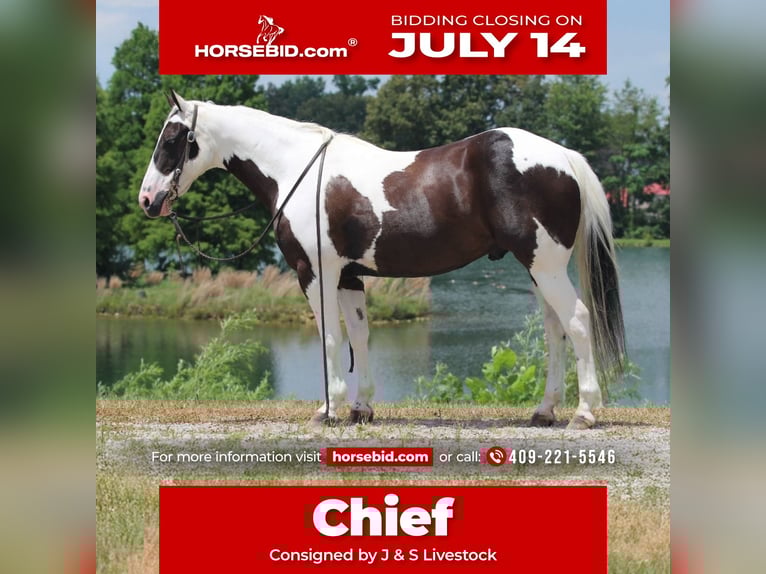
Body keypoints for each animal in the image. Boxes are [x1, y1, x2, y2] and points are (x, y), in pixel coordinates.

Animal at [138, 91, 625, 430]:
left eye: (172, 138)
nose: (147, 200)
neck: (296, 170)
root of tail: (563, 156)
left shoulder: (314, 273)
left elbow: (330, 338)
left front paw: (328, 410)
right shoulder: (349, 277)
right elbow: (359, 335)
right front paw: (361, 408)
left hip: (546, 267)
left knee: (578, 321)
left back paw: (584, 412)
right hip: (538, 269)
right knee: (555, 330)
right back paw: (544, 411)